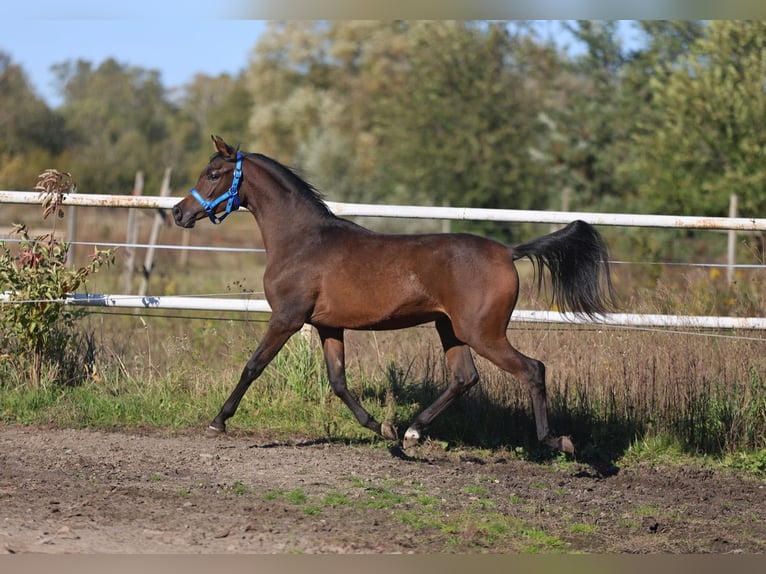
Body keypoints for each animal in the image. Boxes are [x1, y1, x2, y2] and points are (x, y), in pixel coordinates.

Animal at [174, 136, 616, 454]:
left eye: (213, 173)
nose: (179, 213)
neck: (302, 240)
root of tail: (509, 252)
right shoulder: (328, 326)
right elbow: (338, 381)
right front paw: (382, 427)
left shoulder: (287, 318)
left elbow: (253, 366)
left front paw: (218, 421)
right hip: (451, 329)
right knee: (465, 377)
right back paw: (412, 433)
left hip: (483, 332)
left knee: (532, 369)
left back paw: (556, 441)